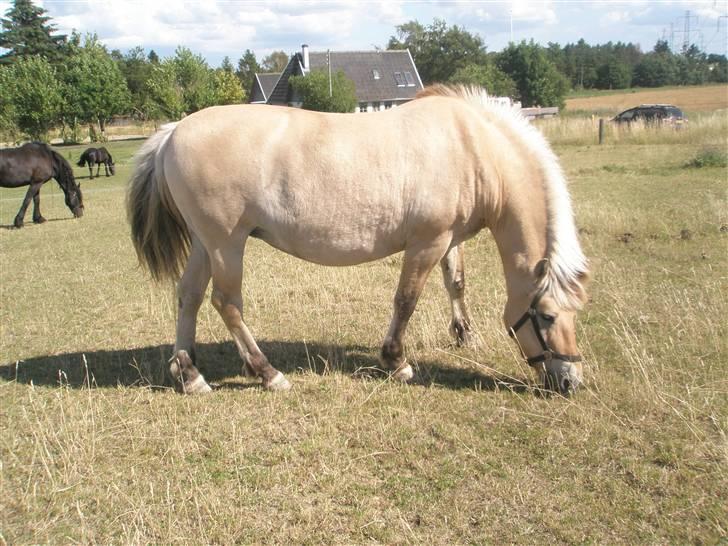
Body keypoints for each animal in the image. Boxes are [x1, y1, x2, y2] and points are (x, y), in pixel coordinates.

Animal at [127, 84, 589, 397]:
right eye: (547, 316)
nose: (570, 380)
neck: (471, 146)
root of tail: (173, 132)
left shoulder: (449, 238)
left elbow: (455, 283)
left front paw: (464, 335)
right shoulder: (427, 241)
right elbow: (406, 300)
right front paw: (397, 362)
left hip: (205, 244)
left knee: (188, 296)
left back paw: (189, 374)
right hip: (226, 244)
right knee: (227, 303)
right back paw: (267, 373)